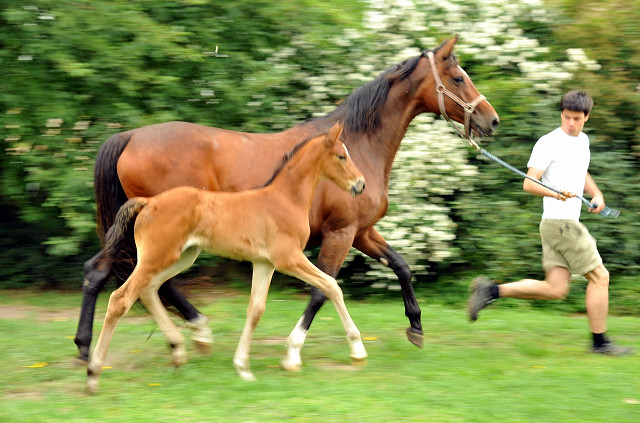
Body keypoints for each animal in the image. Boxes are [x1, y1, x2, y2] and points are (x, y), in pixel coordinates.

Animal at [87, 123, 364, 394]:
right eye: (342, 156)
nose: (360, 184)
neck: (284, 199)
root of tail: (148, 202)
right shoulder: (288, 258)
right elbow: (331, 285)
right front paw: (357, 351)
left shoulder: (264, 264)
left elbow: (255, 310)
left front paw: (243, 368)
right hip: (157, 258)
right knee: (120, 299)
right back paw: (93, 374)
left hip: (180, 257)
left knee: (149, 290)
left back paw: (178, 351)